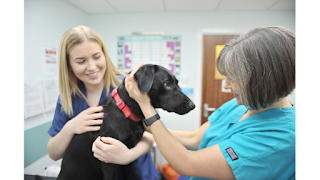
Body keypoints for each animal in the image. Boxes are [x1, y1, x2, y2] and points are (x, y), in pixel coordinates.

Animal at [57, 64, 195, 180]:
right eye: (167, 83)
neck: (126, 111)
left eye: (177, 83)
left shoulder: (127, 158)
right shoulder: (107, 162)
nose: (192, 106)